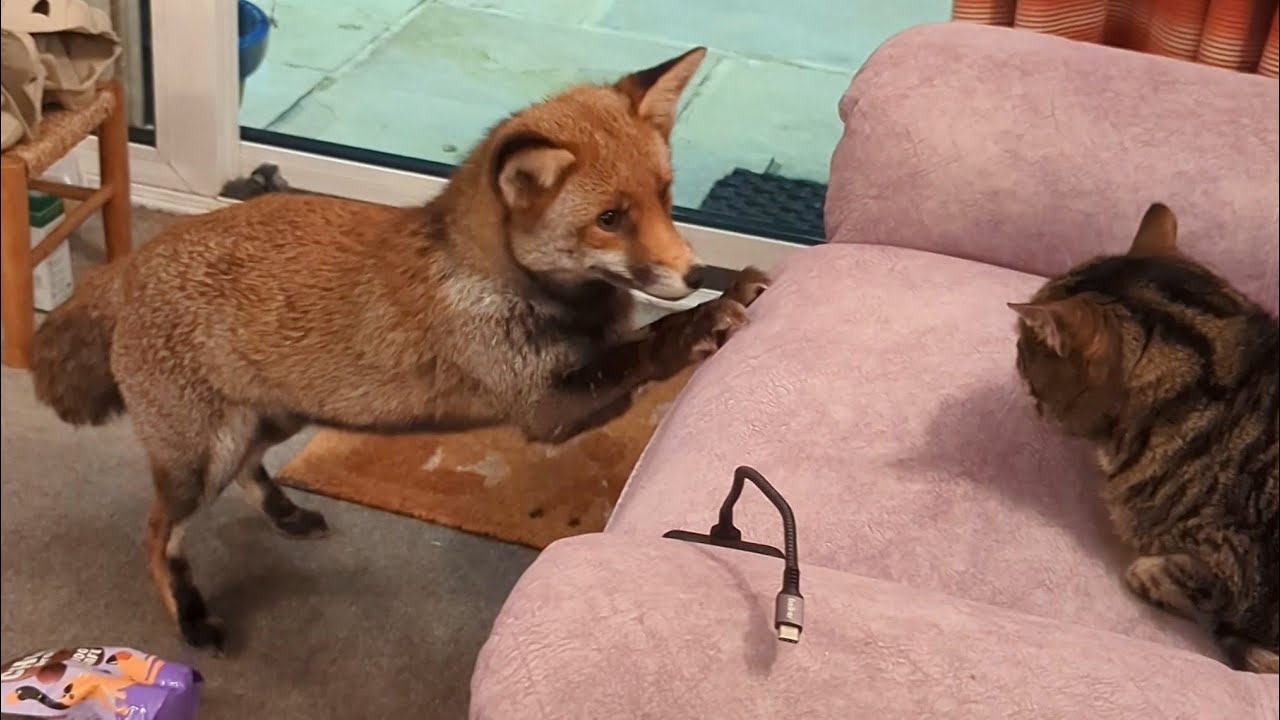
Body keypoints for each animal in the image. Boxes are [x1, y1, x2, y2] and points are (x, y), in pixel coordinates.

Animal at [29, 47, 772, 651]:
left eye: (666, 198)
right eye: (610, 219)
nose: (692, 274)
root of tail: (127, 266)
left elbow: (634, 341)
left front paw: (727, 295)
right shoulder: (542, 406)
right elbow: (642, 351)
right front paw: (702, 322)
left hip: (273, 418)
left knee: (247, 472)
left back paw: (285, 513)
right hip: (199, 461)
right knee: (158, 537)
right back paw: (189, 615)